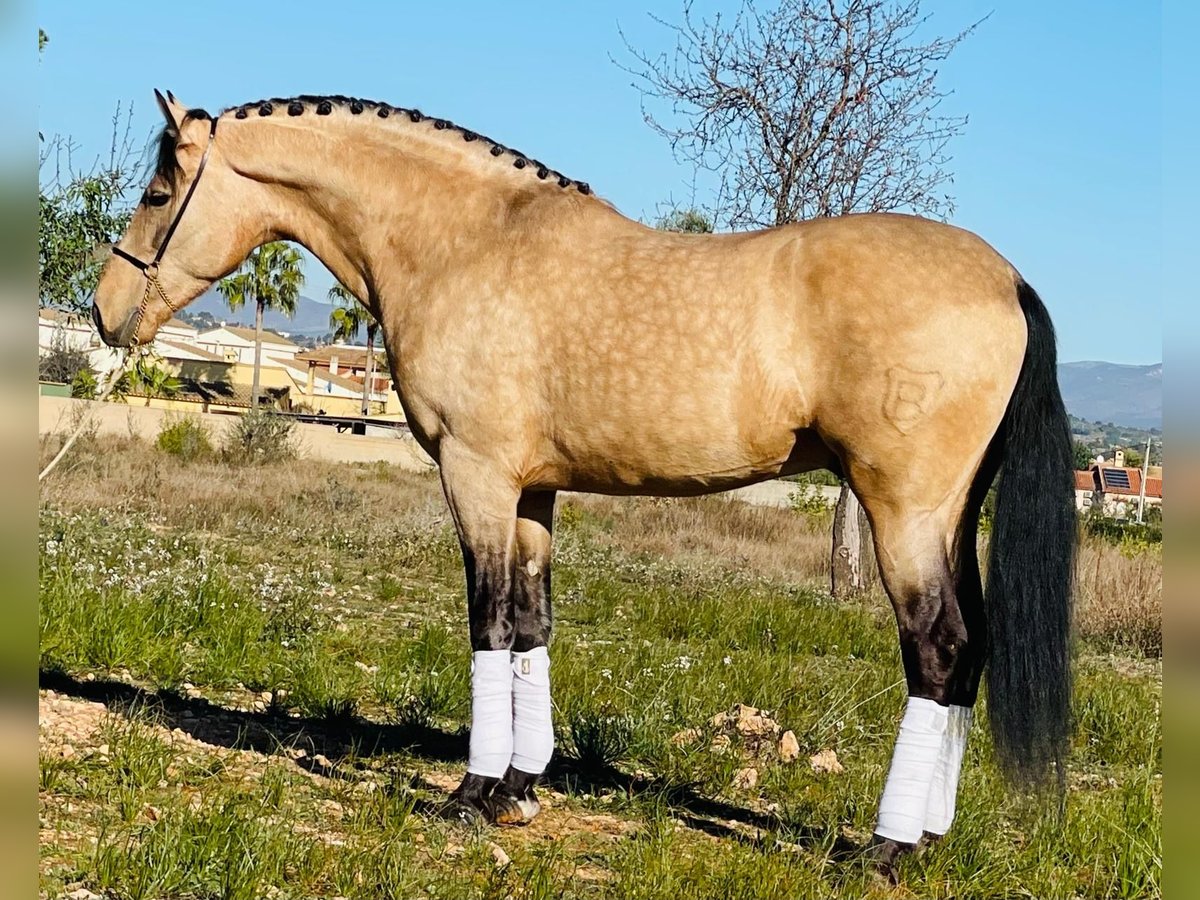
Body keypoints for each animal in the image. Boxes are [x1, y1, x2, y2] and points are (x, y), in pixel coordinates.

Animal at [88, 90, 1075, 873]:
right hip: (951, 514)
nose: (103, 313)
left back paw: (886, 849)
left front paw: (468, 794)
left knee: (939, 649)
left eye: (158, 192)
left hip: (902, 510)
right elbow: (532, 626)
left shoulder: (476, 476)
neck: (465, 241)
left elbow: (488, 624)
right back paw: (930, 836)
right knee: (969, 653)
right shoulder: (532, 493)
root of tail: (1007, 279)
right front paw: (520, 789)